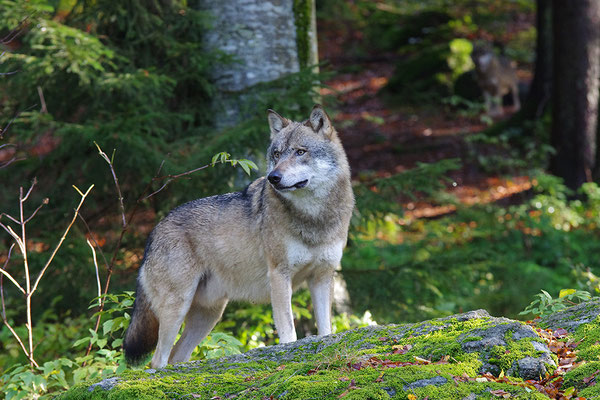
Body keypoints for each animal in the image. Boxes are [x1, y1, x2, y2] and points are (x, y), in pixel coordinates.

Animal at [123, 104, 354, 368]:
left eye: (300, 152)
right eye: (276, 154)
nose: (273, 177)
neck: (314, 218)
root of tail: (152, 234)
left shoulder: (322, 277)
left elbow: (326, 330)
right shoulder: (279, 275)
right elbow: (289, 331)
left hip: (208, 315)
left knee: (176, 356)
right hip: (177, 309)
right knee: (157, 361)